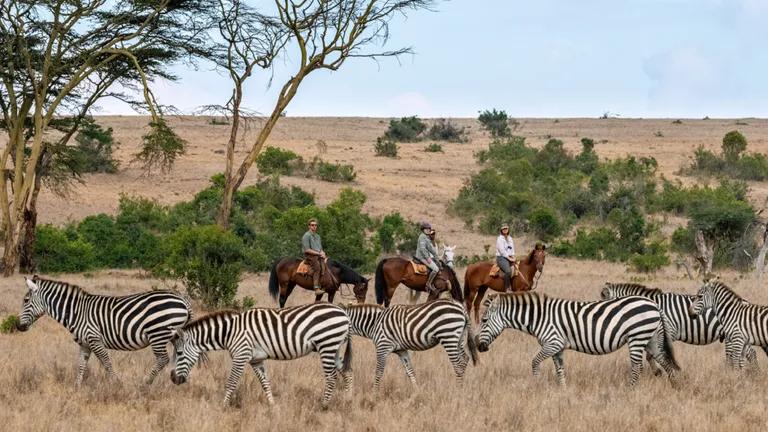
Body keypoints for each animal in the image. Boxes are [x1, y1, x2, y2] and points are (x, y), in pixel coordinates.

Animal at [16, 276, 192, 384]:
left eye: (25, 300)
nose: (18, 326)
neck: (76, 311)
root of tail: (182, 299)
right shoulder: (84, 343)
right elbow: (81, 365)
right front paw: (76, 388)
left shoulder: (94, 339)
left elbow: (106, 362)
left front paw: (116, 383)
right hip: (174, 337)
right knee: (181, 355)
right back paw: (177, 380)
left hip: (158, 334)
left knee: (163, 359)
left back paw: (145, 383)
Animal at [170, 302, 352, 406]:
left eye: (179, 353)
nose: (173, 379)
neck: (230, 332)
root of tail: (343, 312)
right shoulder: (255, 360)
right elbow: (265, 383)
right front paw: (272, 406)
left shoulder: (240, 356)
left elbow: (231, 383)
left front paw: (222, 406)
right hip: (334, 347)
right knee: (347, 372)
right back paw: (348, 401)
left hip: (327, 345)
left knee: (331, 377)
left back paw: (323, 406)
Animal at [340, 298, 476, 390]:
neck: (374, 323)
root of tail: (460, 306)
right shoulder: (401, 350)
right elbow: (409, 370)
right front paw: (417, 391)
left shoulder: (382, 347)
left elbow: (379, 371)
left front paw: (374, 392)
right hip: (459, 338)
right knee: (465, 359)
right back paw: (462, 386)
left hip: (449, 336)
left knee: (457, 364)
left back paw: (457, 389)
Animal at [476, 292, 680, 386]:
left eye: (484, 320)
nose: (479, 347)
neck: (540, 318)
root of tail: (653, 303)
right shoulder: (557, 348)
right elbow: (560, 370)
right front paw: (563, 391)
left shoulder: (553, 342)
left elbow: (534, 362)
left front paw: (537, 384)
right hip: (651, 338)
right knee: (665, 362)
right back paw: (674, 387)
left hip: (637, 337)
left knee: (637, 366)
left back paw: (630, 391)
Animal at [604, 282, 760, 372]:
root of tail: (744, 301)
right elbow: (650, 355)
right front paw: (658, 372)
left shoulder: (667, 332)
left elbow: (653, 355)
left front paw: (660, 371)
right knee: (749, 354)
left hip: (733, 336)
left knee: (748, 354)